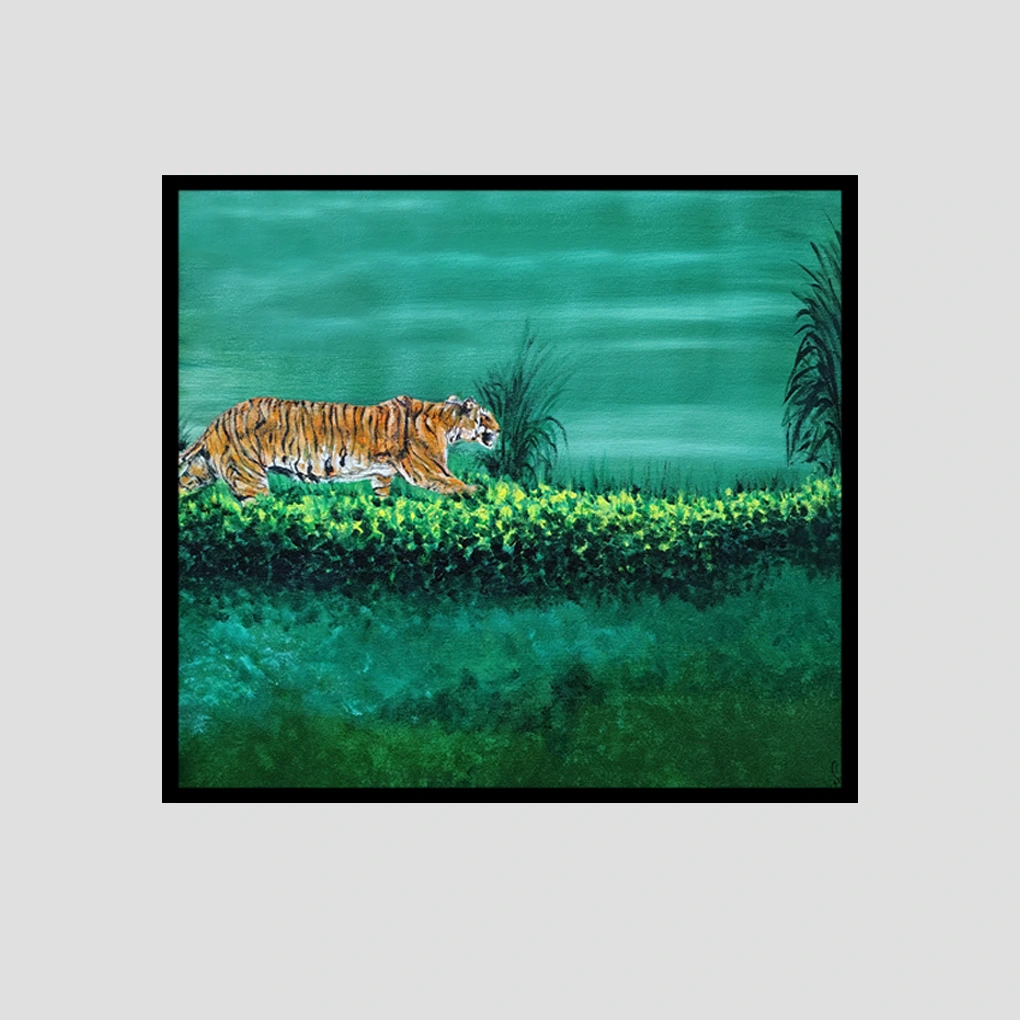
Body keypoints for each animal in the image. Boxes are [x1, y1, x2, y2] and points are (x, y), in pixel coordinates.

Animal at [178, 394, 500, 502]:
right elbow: (453, 482)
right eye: (486, 416)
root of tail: (216, 422)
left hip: (201, 470)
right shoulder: (427, 468)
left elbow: (382, 494)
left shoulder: (382, 474)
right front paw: (478, 492)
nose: (499, 429)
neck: (447, 422)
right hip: (249, 477)